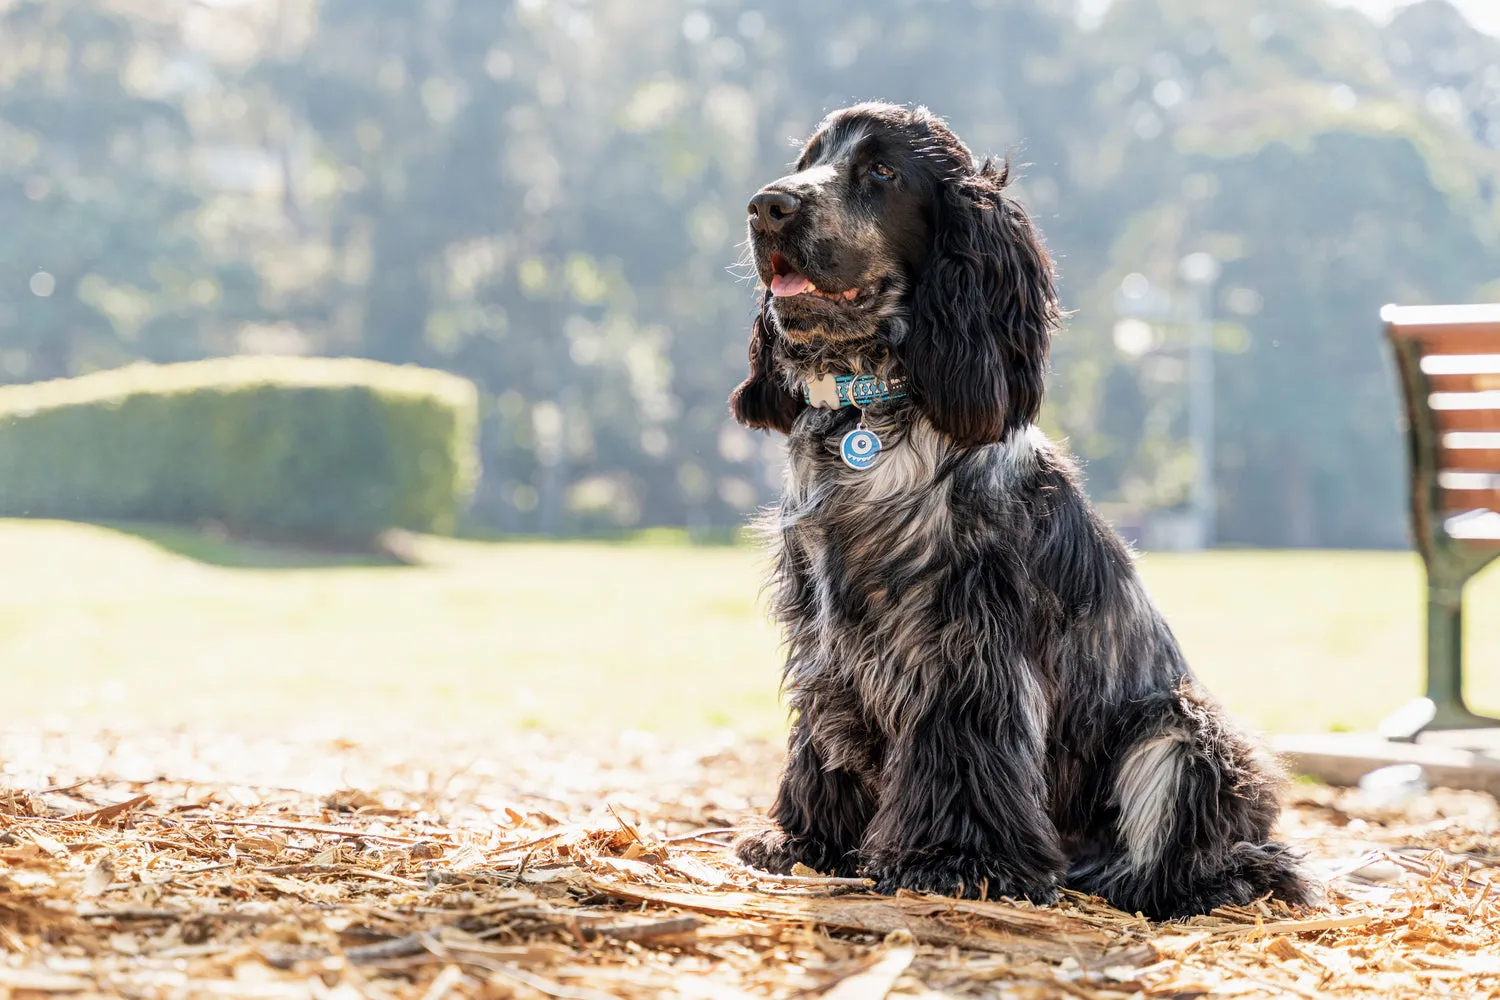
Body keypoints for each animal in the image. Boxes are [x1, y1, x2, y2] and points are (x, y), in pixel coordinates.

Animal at [726, 101, 1314, 923]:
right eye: (809, 160)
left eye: (882, 171)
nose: (766, 206)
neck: (869, 413)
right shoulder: (826, 637)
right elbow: (823, 739)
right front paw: (810, 839)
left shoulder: (966, 645)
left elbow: (960, 755)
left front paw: (954, 861)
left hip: (1181, 730)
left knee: (1245, 860)